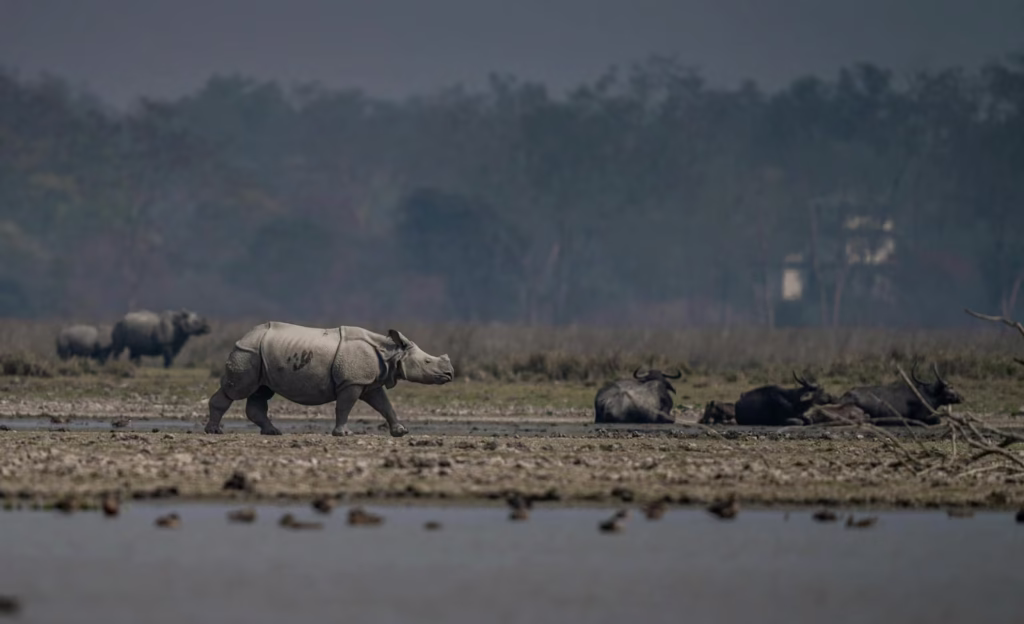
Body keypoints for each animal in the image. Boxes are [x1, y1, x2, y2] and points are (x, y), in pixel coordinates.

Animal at [204, 322, 454, 437]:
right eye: (428, 362)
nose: (450, 374)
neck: (390, 352)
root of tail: (244, 335)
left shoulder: (368, 382)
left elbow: (385, 405)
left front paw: (400, 432)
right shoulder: (352, 382)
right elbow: (344, 406)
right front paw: (343, 434)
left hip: (260, 355)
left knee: (261, 391)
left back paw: (273, 432)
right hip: (248, 352)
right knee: (236, 390)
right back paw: (214, 431)